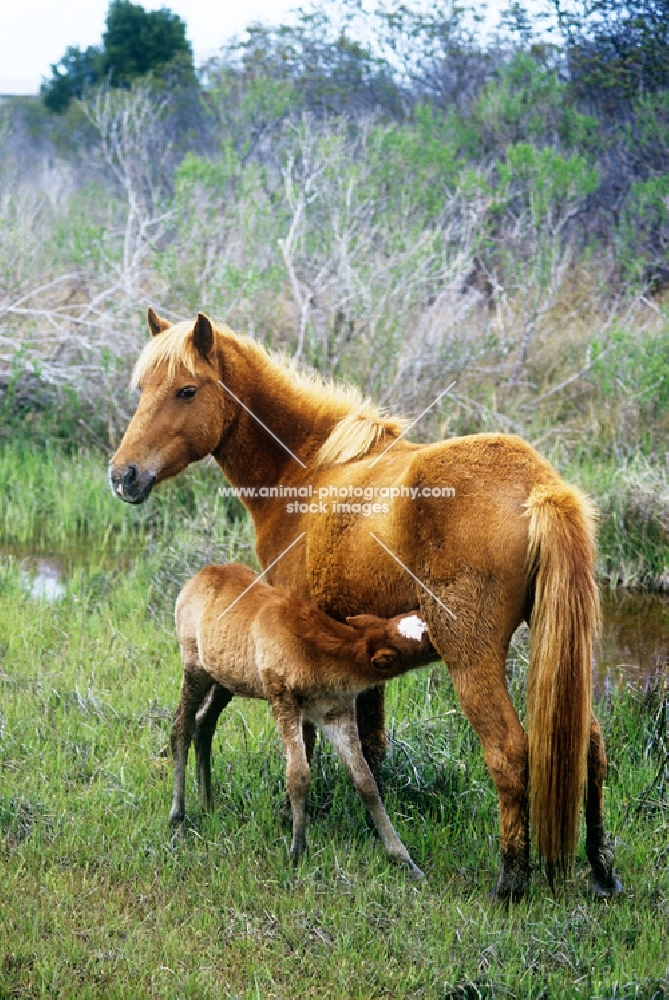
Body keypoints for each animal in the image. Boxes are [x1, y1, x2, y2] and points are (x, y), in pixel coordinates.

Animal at [170, 568, 436, 880]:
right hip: (195, 668)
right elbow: (298, 775)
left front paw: (404, 860)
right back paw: (178, 815)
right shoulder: (282, 698)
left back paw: (207, 804)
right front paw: (297, 851)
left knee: (204, 724)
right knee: (181, 727)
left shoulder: (337, 714)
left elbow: (365, 781)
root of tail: (201, 574)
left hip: (225, 679)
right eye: (425, 641)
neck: (317, 651)